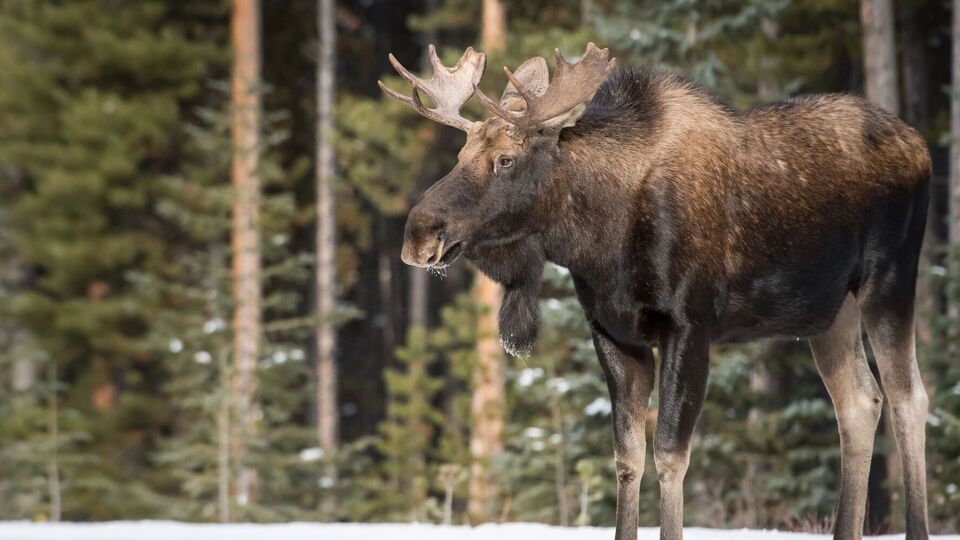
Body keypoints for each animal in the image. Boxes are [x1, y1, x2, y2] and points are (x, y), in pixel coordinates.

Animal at [380, 43, 931, 540]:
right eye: (460, 154)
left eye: (506, 160)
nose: (418, 234)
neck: (599, 240)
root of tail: (921, 146)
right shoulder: (612, 332)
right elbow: (627, 457)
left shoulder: (689, 325)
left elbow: (669, 453)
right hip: (830, 312)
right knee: (859, 403)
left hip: (889, 280)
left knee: (908, 398)